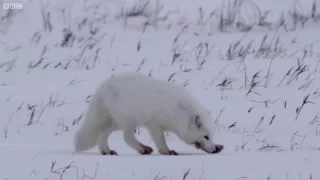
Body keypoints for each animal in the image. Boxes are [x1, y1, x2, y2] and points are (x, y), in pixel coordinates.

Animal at [74, 72, 224, 155]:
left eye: (211, 136)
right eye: (206, 136)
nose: (213, 150)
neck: (179, 111)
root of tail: (101, 89)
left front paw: (218, 147)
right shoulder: (153, 123)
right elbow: (160, 140)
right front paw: (166, 151)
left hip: (115, 123)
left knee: (102, 134)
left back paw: (107, 151)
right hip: (128, 120)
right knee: (127, 138)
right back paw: (143, 149)